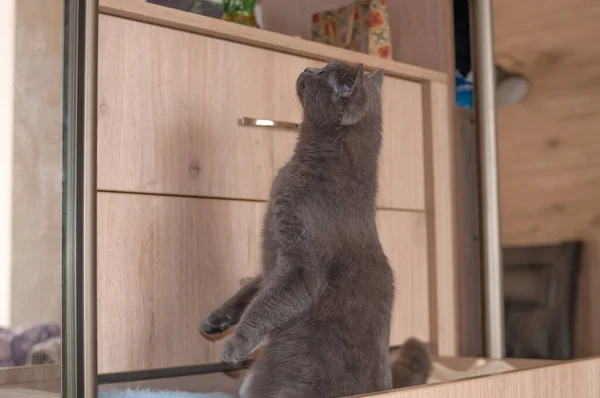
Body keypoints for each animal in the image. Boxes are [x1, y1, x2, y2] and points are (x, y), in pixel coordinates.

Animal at [203, 60, 398, 396]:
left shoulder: (301, 268)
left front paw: (235, 345)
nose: (307, 67)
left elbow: (265, 305)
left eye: (322, 74)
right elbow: (252, 291)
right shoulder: (276, 257)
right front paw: (216, 319)